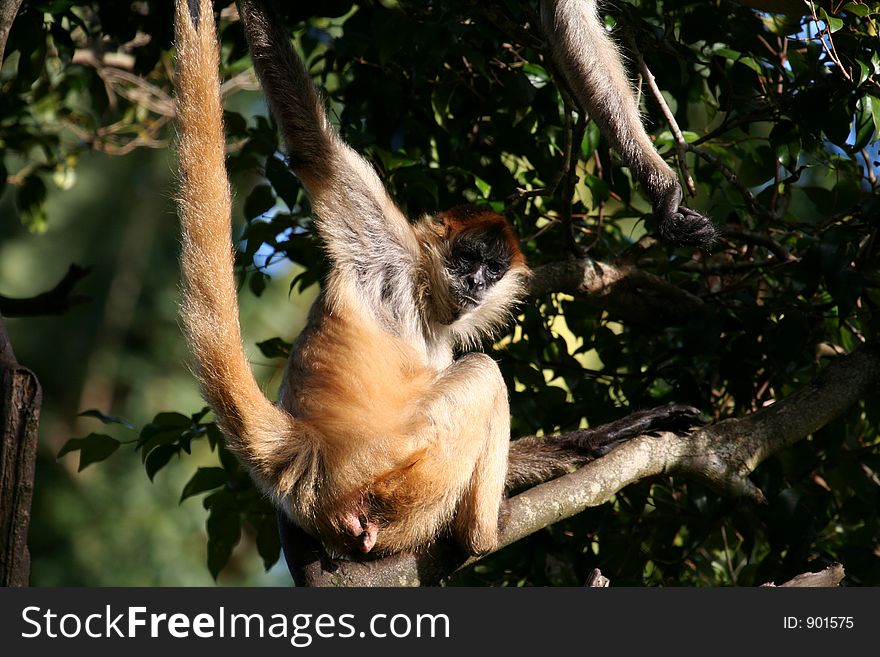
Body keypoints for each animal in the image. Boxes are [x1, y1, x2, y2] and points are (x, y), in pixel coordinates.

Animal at [174, 0, 708, 556]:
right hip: (393, 471)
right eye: (466, 259)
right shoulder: (386, 253)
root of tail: (306, 450)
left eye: (491, 269)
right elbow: (312, 148)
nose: (475, 284)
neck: (425, 299)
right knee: (484, 373)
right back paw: (482, 534)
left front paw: (609, 434)